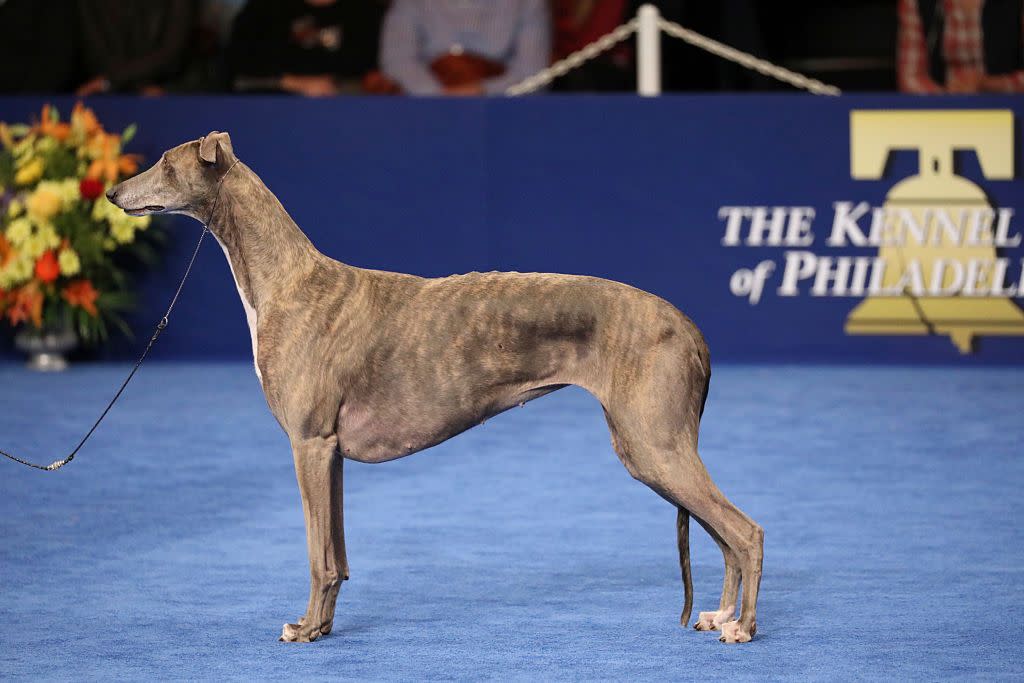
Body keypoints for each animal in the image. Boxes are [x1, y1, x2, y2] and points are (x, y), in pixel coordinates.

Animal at [108, 133, 765, 647]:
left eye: (164, 163)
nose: (113, 194)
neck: (287, 282)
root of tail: (688, 326)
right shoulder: (330, 454)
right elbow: (337, 556)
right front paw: (324, 626)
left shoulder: (309, 444)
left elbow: (317, 557)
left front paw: (305, 629)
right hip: (657, 449)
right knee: (724, 534)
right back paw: (720, 614)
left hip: (653, 445)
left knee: (746, 532)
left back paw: (742, 626)